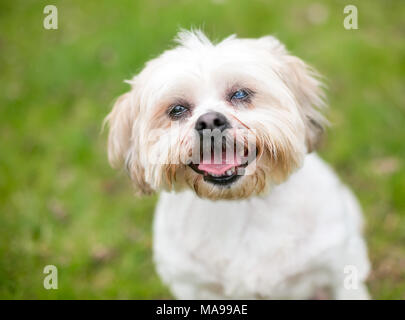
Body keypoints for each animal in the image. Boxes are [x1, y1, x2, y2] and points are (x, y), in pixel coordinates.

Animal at [104, 30, 370, 300]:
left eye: (240, 94)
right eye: (177, 109)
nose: (210, 121)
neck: (241, 203)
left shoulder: (341, 266)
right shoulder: (190, 284)